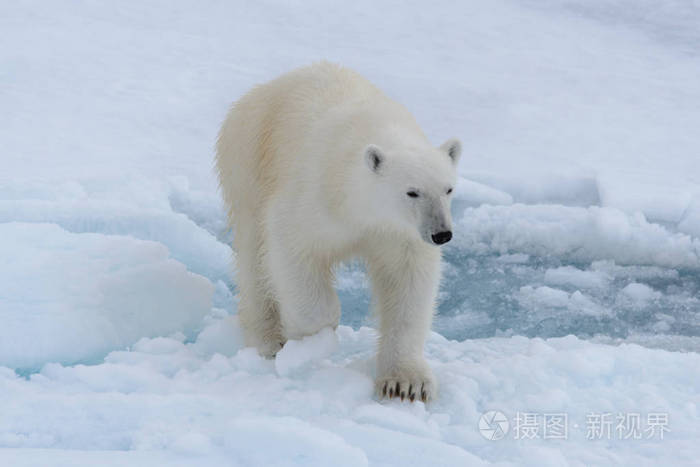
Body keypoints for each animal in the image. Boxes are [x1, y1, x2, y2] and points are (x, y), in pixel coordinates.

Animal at [216, 62, 462, 402]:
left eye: (448, 189)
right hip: (248, 159)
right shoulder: (313, 197)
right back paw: (268, 339)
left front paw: (406, 382)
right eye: (412, 192)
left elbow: (409, 283)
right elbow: (290, 248)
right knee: (254, 254)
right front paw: (315, 337)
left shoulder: (400, 233)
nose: (442, 234)